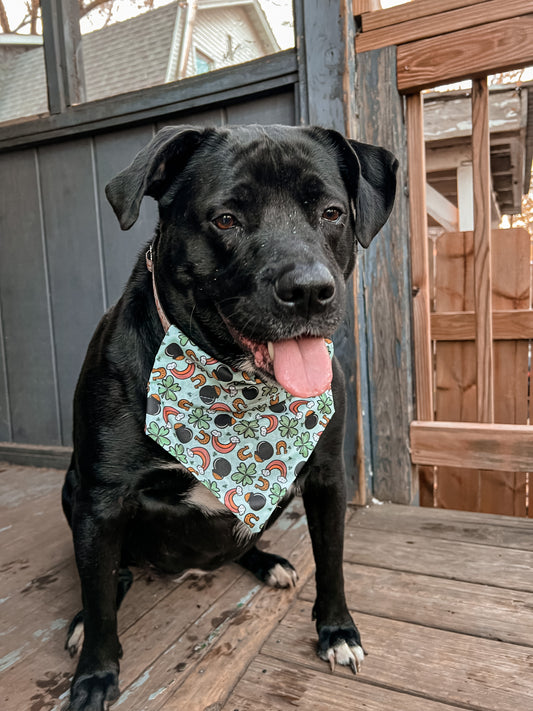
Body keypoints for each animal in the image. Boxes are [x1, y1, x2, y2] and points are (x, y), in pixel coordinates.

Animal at [61, 125, 394, 708]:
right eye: (225, 219)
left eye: (332, 212)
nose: (310, 290)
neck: (236, 387)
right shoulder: (100, 499)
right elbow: (101, 604)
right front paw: (94, 676)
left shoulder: (327, 476)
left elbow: (331, 561)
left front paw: (337, 631)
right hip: (71, 488)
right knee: (108, 578)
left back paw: (268, 563)